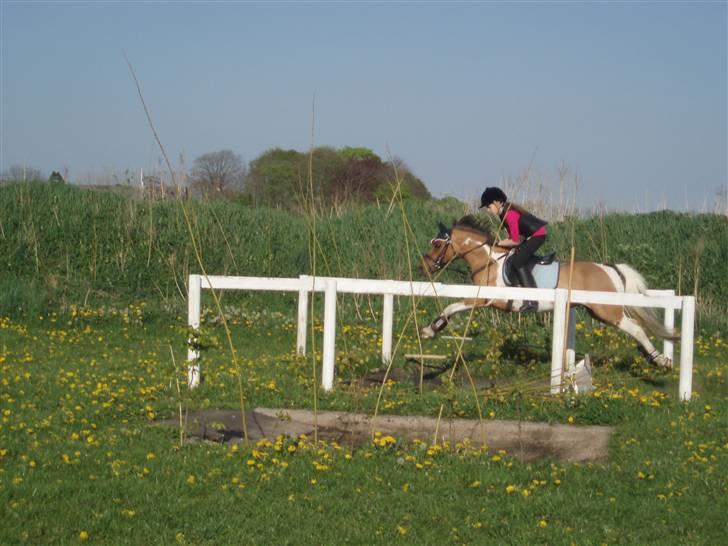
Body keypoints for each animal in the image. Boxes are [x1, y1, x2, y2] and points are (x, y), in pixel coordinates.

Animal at [420, 215, 676, 368]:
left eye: (437, 244)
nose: (424, 267)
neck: (489, 261)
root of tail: (609, 268)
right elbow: (452, 307)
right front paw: (432, 328)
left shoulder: (486, 299)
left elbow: (452, 306)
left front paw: (431, 329)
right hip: (597, 311)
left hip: (607, 311)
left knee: (637, 328)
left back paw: (660, 360)